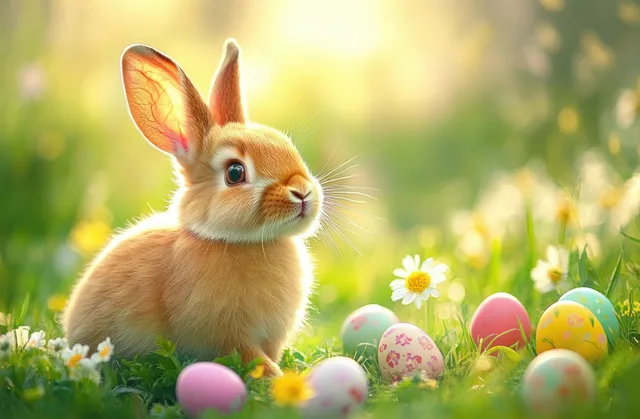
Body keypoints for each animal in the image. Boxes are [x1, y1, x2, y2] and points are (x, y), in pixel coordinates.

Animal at [61, 38, 324, 377]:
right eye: (235, 173)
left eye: (289, 148)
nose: (302, 192)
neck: (241, 242)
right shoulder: (229, 336)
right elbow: (254, 360)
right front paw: (281, 380)